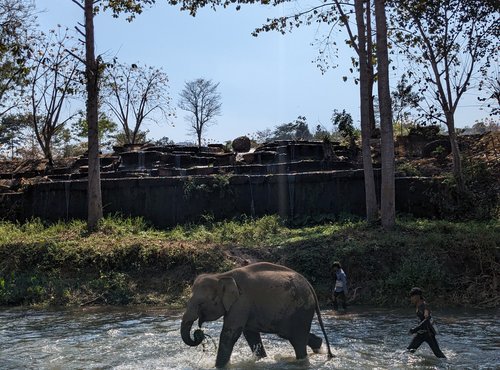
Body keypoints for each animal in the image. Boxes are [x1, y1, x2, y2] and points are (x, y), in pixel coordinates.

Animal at [180, 262, 332, 368]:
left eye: (201, 304)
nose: (198, 333)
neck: (221, 275)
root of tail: (310, 286)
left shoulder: (241, 302)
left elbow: (230, 334)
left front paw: (218, 367)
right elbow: (250, 334)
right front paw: (261, 360)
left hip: (301, 307)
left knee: (297, 339)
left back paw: (302, 361)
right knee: (292, 334)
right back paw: (319, 347)